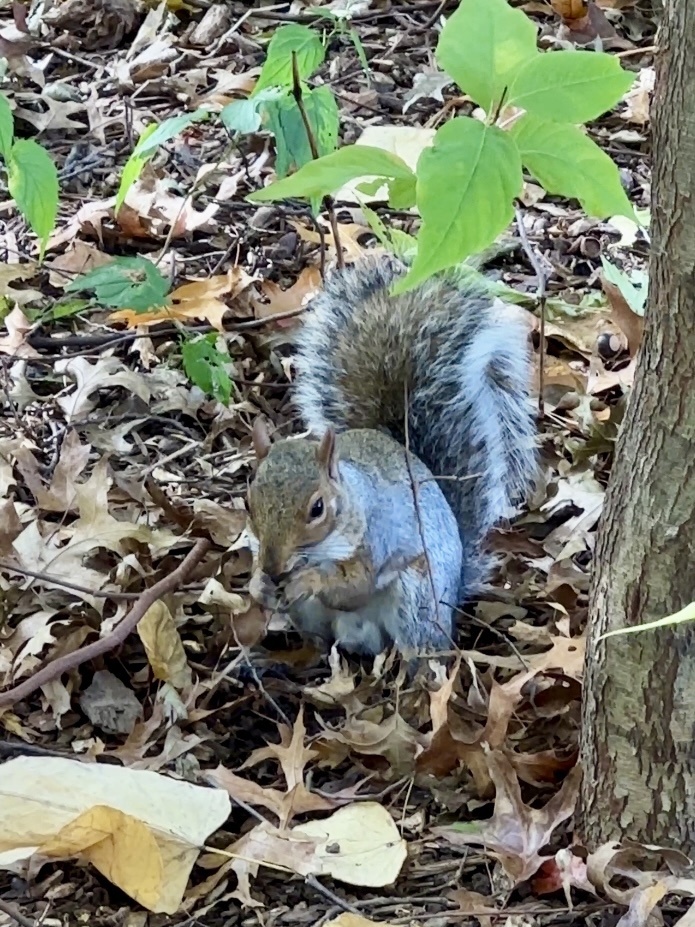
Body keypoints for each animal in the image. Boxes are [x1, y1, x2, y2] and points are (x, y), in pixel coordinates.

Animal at [245, 252, 540, 660]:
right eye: (248, 503)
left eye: (318, 509)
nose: (273, 568)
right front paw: (258, 584)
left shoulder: (377, 539)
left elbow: (353, 586)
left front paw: (309, 579)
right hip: (315, 618)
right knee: (322, 638)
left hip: (416, 597)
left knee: (419, 645)